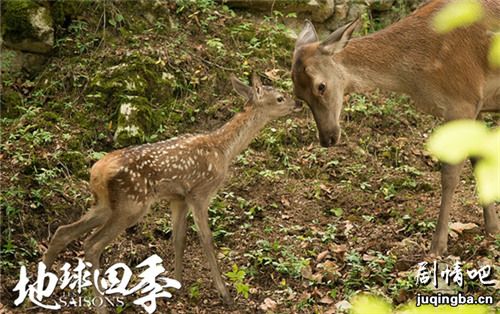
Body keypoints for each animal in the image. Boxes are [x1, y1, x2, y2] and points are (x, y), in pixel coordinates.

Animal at [43, 74, 300, 306]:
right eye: (280, 97)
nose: (297, 103)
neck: (223, 150)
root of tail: (96, 171)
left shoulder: (178, 198)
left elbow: (179, 238)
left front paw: (177, 285)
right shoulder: (199, 192)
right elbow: (206, 239)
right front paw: (225, 294)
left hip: (106, 204)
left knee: (63, 232)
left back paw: (38, 294)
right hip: (131, 204)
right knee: (91, 244)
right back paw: (100, 306)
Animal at [292, 0, 500, 255]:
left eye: (320, 86)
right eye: (298, 95)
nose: (327, 138)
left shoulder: (462, 100)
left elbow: (450, 175)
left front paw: (437, 246)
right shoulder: (476, 106)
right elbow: (479, 160)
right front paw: (492, 228)